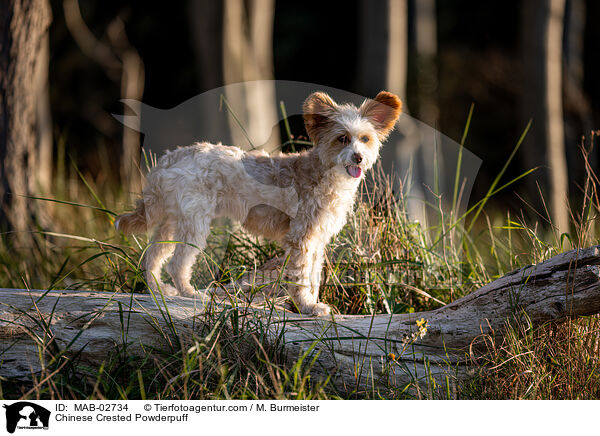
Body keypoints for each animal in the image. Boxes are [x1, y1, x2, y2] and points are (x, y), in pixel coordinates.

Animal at [114, 91, 400, 316]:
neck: (324, 172)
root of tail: (171, 157)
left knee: (152, 257)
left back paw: (159, 290)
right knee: (177, 263)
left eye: (365, 139)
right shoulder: (301, 238)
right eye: (342, 138)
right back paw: (190, 293)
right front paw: (306, 306)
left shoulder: (317, 241)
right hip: (194, 224)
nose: (358, 157)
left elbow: (313, 277)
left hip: (171, 223)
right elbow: (300, 277)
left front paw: (312, 303)